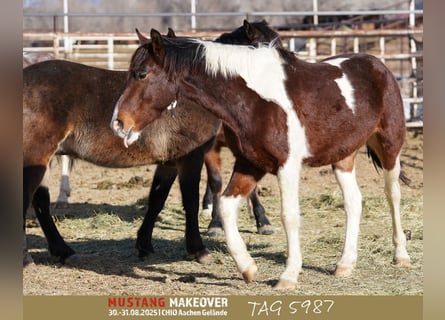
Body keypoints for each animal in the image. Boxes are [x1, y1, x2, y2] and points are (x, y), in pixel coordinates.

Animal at [23, 21, 278, 264]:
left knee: (40, 202)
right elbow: (191, 201)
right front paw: (198, 249)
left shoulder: (169, 161)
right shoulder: (191, 157)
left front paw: (144, 245)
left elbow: (157, 199)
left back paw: (63, 251)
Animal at [112, 29, 412, 290]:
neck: (256, 101)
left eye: (141, 74)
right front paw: (247, 268)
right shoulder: (250, 163)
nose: (118, 122)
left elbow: (289, 216)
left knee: (393, 195)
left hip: (389, 147)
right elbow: (226, 206)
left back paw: (401, 255)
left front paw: (289, 276)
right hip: (343, 157)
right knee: (353, 202)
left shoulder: (287, 167)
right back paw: (345, 264)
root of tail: (377, 64)